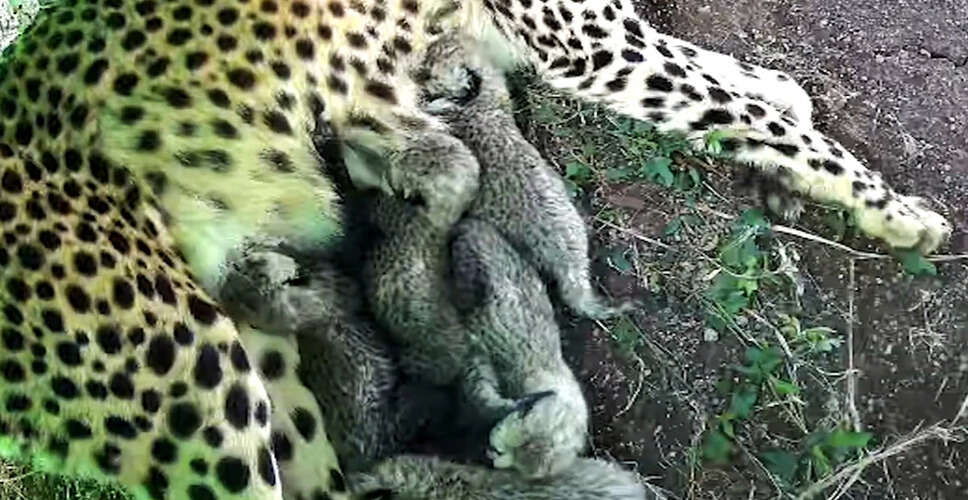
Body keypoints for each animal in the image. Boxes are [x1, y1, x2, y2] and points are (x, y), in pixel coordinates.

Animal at [0, 0, 953, 498]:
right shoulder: (593, 45)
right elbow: (744, 106)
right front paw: (898, 211)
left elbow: (740, 85)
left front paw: (781, 112)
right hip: (205, 397)